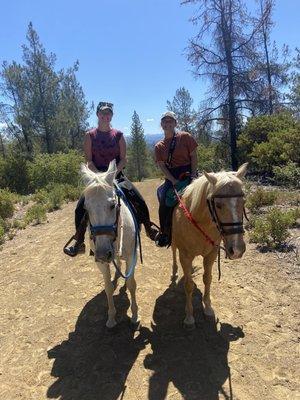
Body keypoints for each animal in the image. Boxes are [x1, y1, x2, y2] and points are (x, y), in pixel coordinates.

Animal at [81, 159, 139, 328]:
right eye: (86, 208)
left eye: (113, 205)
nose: (102, 253)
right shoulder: (100, 262)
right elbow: (108, 288)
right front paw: (111, 317)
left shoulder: (132, 256)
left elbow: (131, 284)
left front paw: (134, 315)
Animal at [172, 164, 247, 326]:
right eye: (218, 205)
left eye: (243, 202)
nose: (237, 250)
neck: (201, 223)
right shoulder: (185, 256)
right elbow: (188, 285)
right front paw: (189, 317)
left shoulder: (211, 255)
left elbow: (207, 279)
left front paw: (208, 308)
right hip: (174, 243)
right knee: (173, 252)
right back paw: (174, 270)